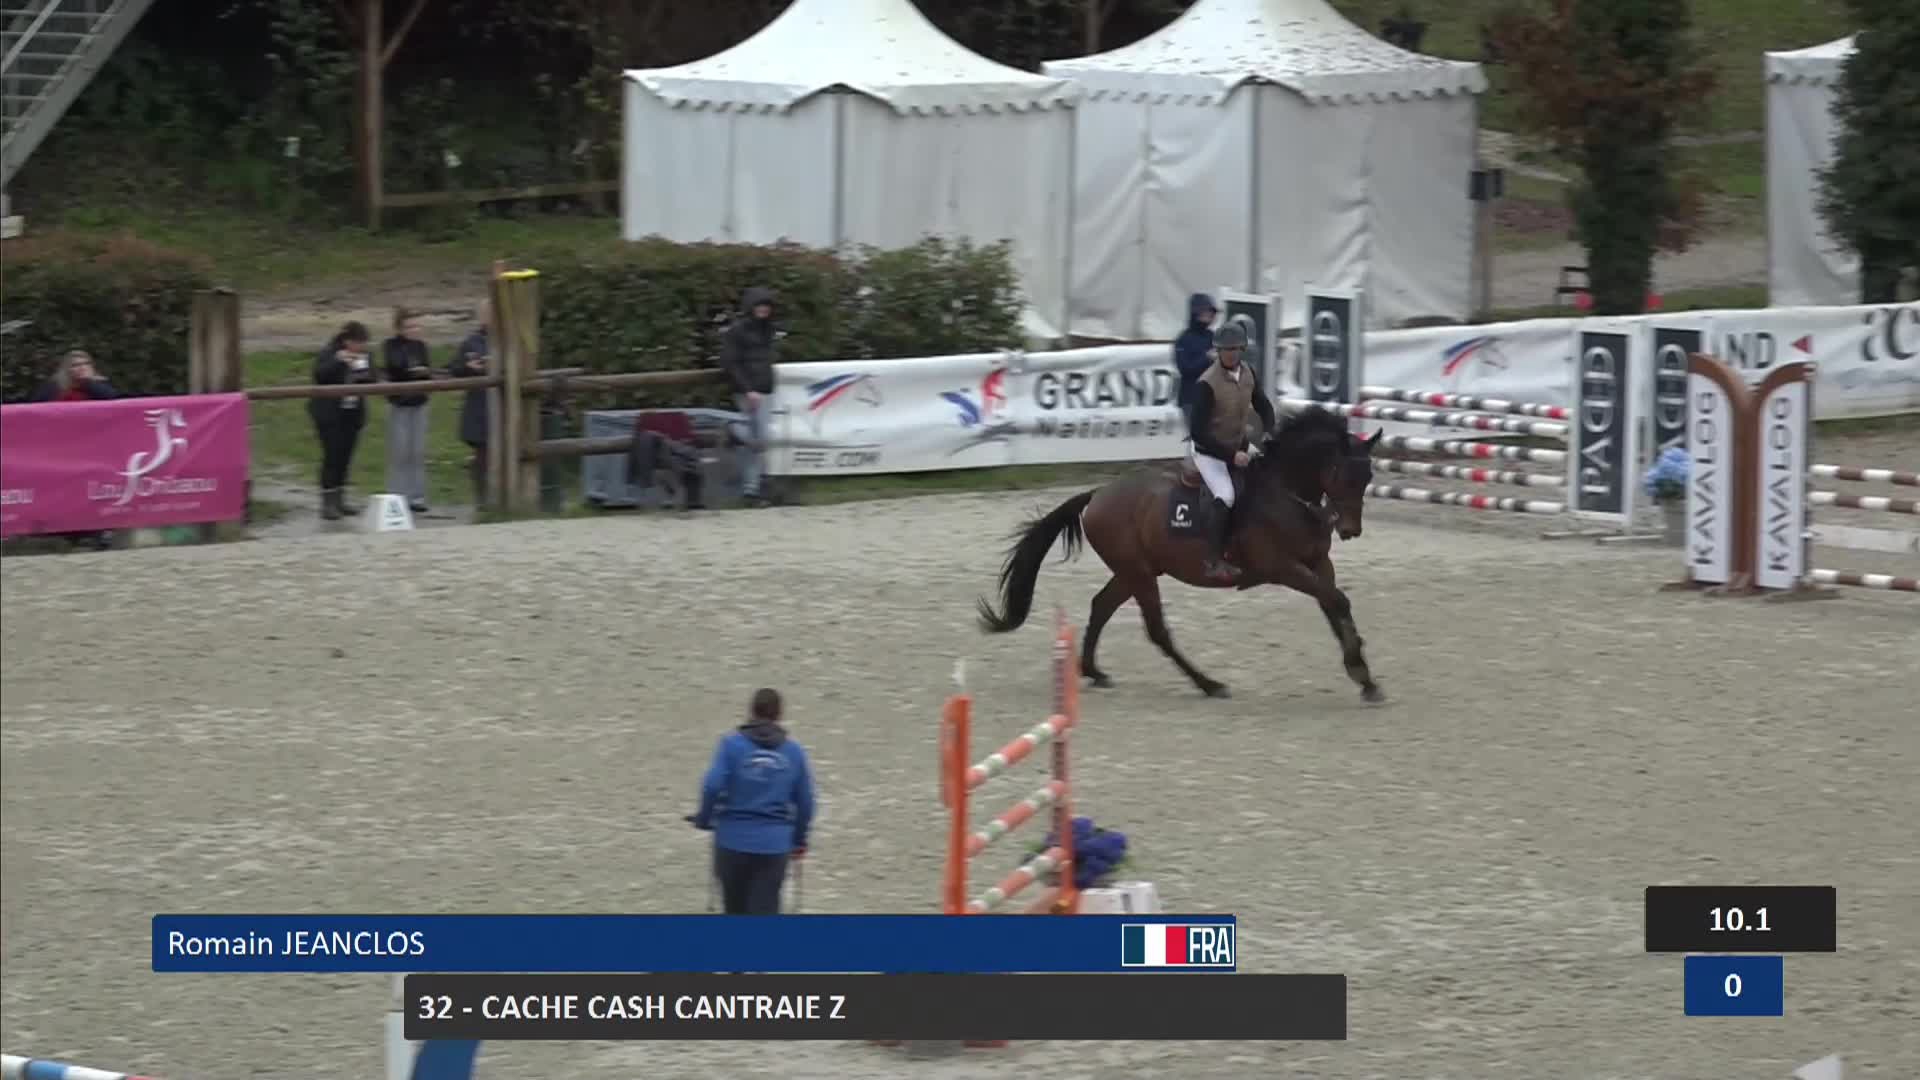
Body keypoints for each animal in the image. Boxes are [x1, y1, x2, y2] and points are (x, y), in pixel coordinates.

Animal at [976, 406, 1385, 703]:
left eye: (1367, 477)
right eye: (1344, 473)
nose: (1350, 530)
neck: (1287, 494)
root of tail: (1098, 495)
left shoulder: (1318, 563)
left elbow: (1334, 604)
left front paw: (1363, 675)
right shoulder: (1282, 567)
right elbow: (1337, 599)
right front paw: (1359, 667)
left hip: (1135, 572)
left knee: (1101, 606)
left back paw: (1093, 671)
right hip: (1139, 574)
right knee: (1157, 631)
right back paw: (1209, 684)